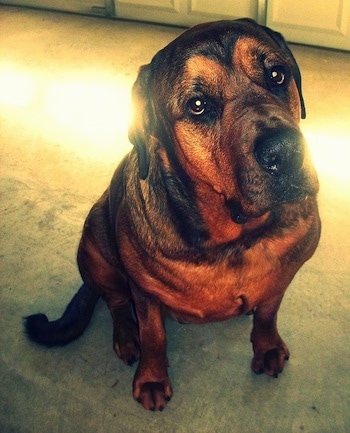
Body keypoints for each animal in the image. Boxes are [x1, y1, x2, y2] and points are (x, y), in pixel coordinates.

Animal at [23, 18, 320, 410]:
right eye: (198, 105)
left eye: (276, 74)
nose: (284, 152)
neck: (235, 237)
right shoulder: (145, 293)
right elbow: (154, 335)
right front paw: (151, 377)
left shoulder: (286, 271)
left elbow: (268, 312)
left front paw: (267, 346)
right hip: (95, 249)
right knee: (116, 301)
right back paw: (126, 336)